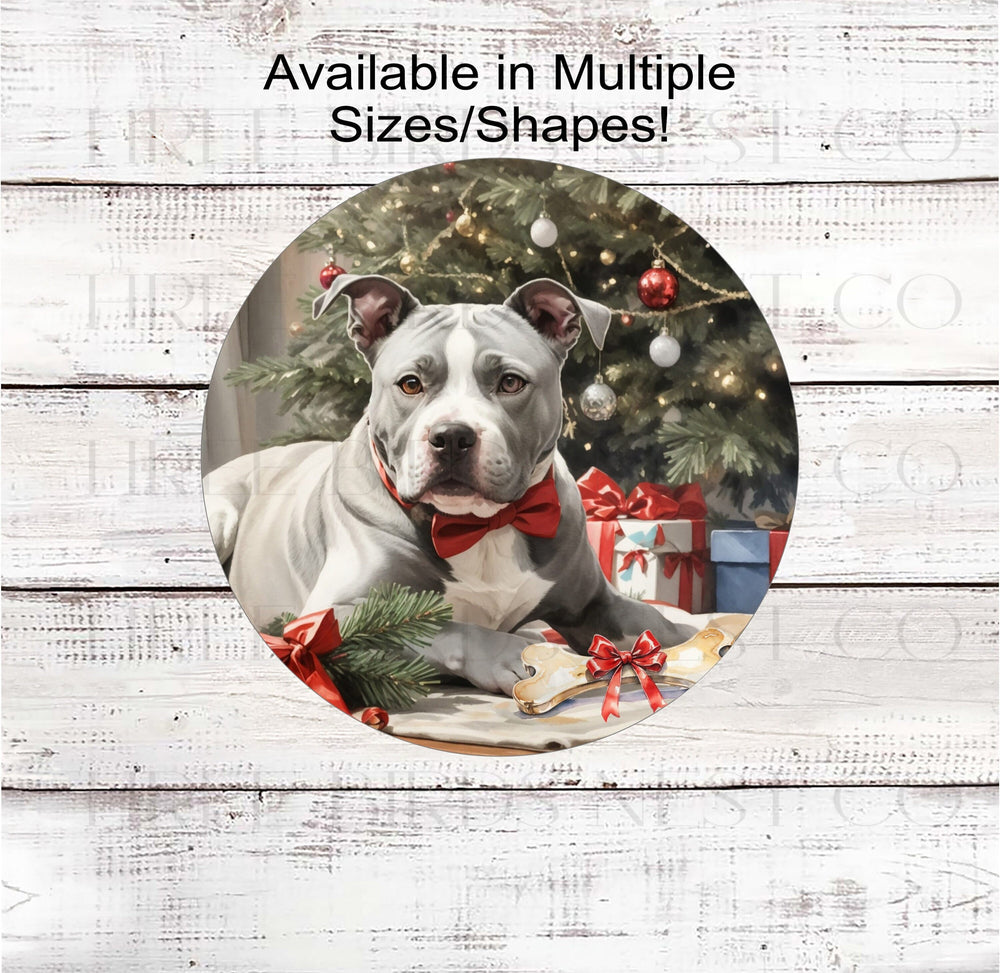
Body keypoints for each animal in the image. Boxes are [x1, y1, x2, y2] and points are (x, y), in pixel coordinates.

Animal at [205, 274, 696, 696]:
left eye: (510, 382)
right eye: (410, 384)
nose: (453, 436)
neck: (482, 526)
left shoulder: (594, 603)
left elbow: (655, 623)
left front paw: (688, 634)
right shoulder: (334, 615)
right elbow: (445, 628)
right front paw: (517, 655)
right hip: (223, 512)